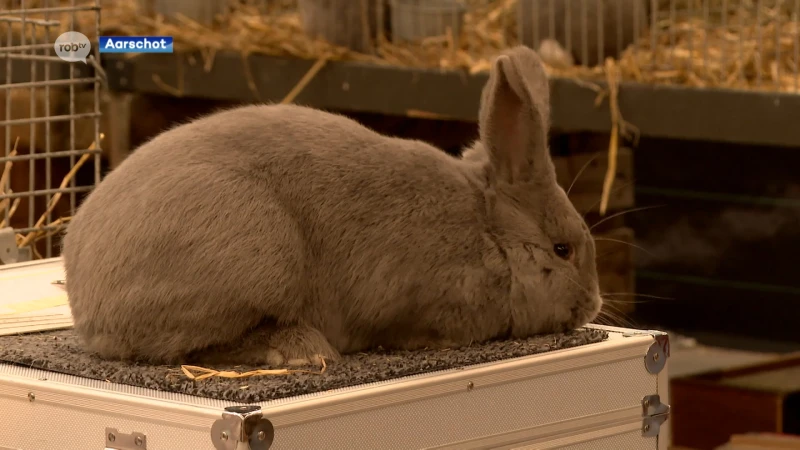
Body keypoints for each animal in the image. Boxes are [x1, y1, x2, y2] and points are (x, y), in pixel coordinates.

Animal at [61, 45, 600, 368]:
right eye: (562, 249)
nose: (592, 305)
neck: (489, 233)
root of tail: (87, 299)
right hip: (258, 257)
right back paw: (296, 349)